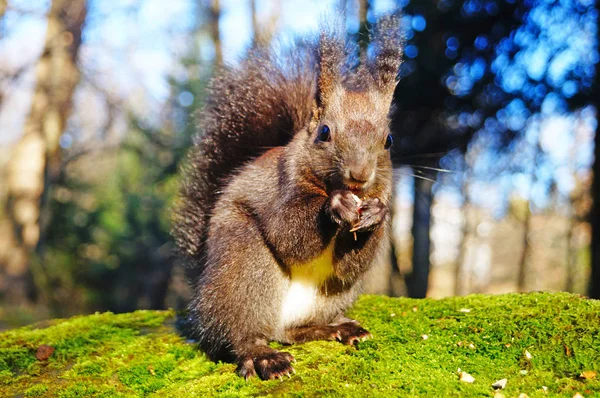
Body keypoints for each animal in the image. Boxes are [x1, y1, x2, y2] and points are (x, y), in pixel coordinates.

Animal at [173, 17, 406, 380]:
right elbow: (288, 234)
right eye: (324, 132)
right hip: (244, 265)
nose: (359, 175)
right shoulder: (282, 187)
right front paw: (334, 205)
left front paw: (375, 214)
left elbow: (352, 263)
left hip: (332, 295)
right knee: (242, 334)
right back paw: (263, 356)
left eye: (389, 140)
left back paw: (336, 328)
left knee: (294, 331)